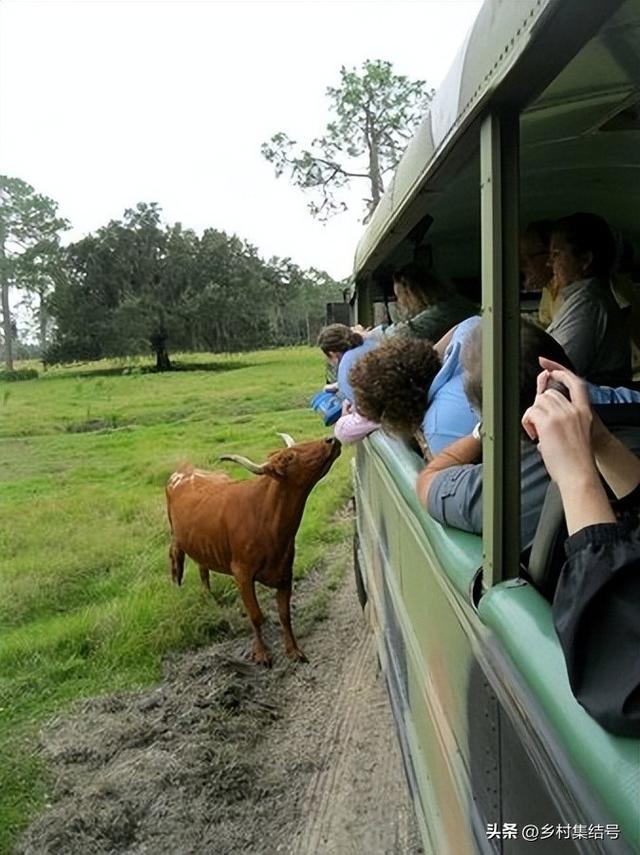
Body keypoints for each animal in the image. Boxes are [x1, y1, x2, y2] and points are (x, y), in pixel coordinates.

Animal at [168, 434, 342, 668]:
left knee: (202, 567)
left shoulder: (285, 573)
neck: (266, 518)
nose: (331, 439)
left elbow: (285, 615)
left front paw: (294, 650)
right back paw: (177, 585)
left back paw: (208, 595)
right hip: (176, 536)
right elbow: (255, 616)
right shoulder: (242, 574)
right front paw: (261, 653)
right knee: (175, 557)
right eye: (288, 457)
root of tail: (184, 471)